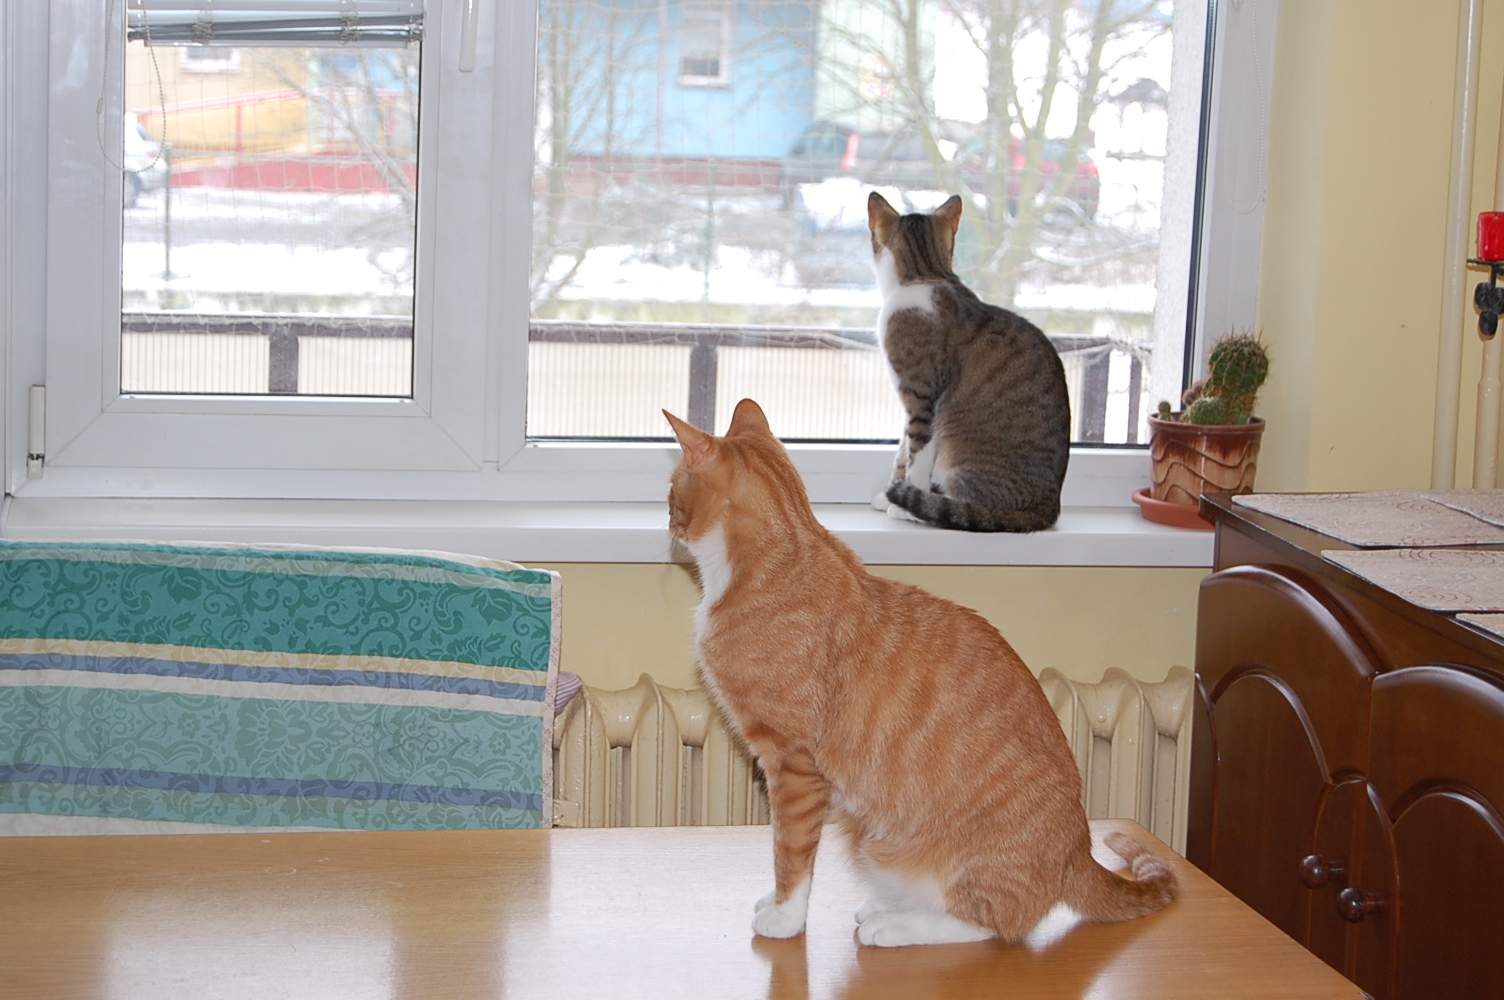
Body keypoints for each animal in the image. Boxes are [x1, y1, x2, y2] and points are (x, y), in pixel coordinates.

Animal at [664, 398, 1177, 948]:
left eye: (671, 489)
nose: (667, 519)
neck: (776, 560)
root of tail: (1079, 855)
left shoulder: (794, 766)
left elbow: (791, 855)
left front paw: (785, 917)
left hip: (925, 861)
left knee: (992, 923)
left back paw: (895, 925)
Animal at [868, 191, 1071, 532]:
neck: (925, 273)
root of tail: (1049, 503)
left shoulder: (921, 398)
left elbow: (916, 456)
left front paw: (906, 503)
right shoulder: (908, 401)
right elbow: (902, 450)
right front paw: (889, 494)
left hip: (958, 455)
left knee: (969, 506)